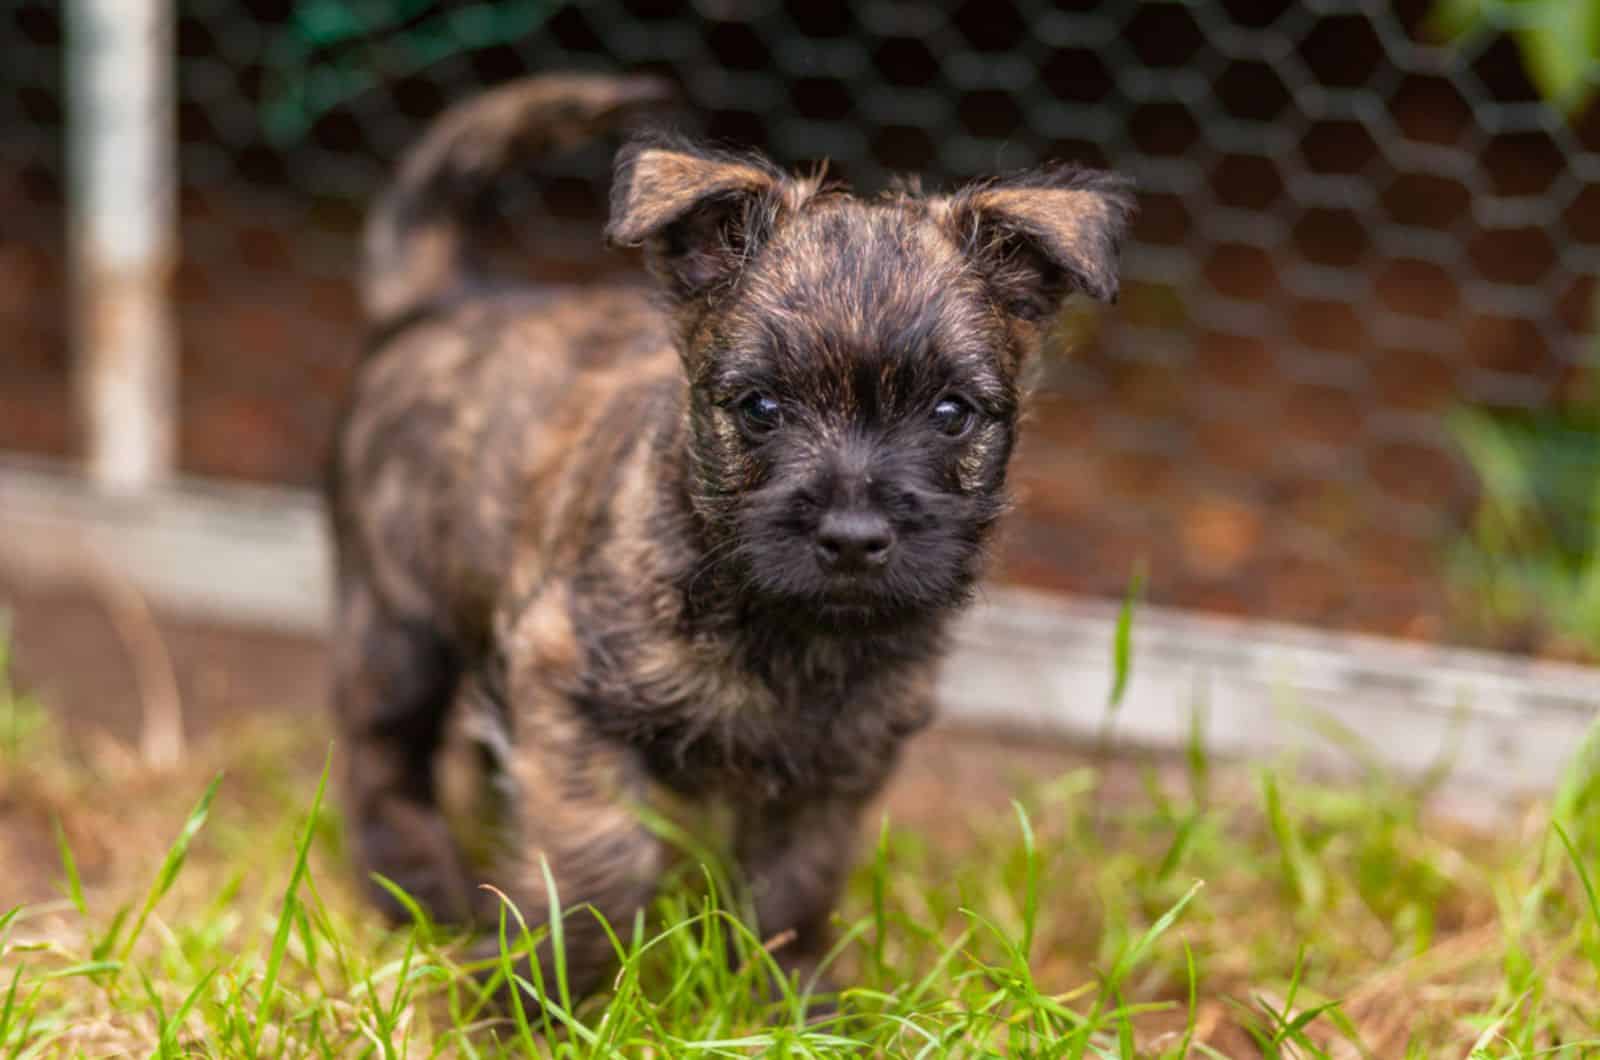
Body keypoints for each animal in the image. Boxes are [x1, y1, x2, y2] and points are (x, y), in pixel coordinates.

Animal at [331, 72, 1139, 1005]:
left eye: (950, 413)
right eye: (760, 407)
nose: (853, 536)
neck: (785, 630)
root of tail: (441, 301)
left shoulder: (842, 762)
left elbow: (795, 884)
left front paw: (791, 997)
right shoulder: (566, 688)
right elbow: (597, 859)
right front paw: (541, 996)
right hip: (394, 629)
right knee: (382, 760)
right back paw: (420, 889)